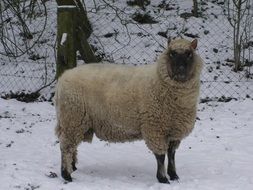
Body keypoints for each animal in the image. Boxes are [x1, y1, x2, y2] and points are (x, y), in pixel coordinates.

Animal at [54, 37, 204, 183]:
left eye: (189, 53)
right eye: (172, 53)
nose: (180, 68)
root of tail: (63, 78)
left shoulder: (174, 130)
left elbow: (172, 154)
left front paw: (174, 175)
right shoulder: (155, 128)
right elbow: (160, 156)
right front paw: (162, 178)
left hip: (73, 121)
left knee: (71, 146)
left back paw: (73, 166)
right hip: (73, 117)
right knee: (66, 147)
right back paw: (66, 174)